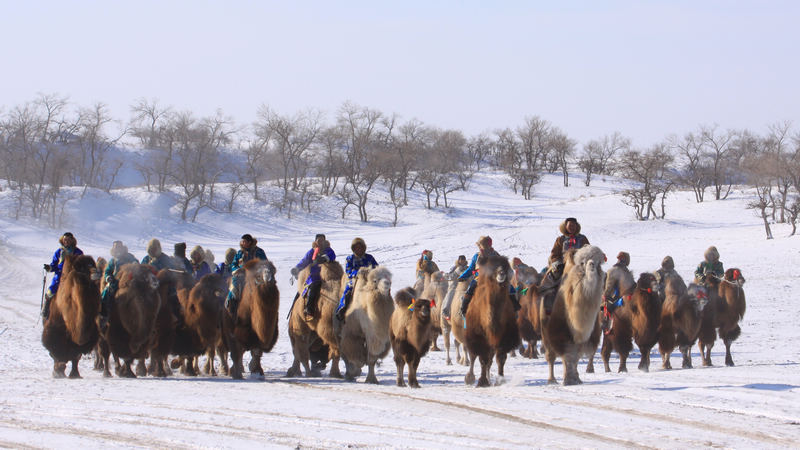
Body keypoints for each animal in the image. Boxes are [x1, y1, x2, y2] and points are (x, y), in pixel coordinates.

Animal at [462, 255, 520, 388]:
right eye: (493, 268)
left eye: (505, 266)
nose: (502, 273)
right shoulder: (478, 335)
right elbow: (482, 358)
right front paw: (482, 381)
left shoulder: (504, 335)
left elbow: (501, 358)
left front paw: (500, 380)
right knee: (474, 356)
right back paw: (470, 378)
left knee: (490, 359)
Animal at [536, 244, 608, 384]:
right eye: (582, 262)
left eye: (598, 262)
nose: (591, 264)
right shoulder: (562, 332)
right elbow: (569, 355)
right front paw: (569, 380)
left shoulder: (586, 336)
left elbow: (576, 357)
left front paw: (576, 378)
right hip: (546, 333)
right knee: (550, 357)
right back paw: (551, 380)